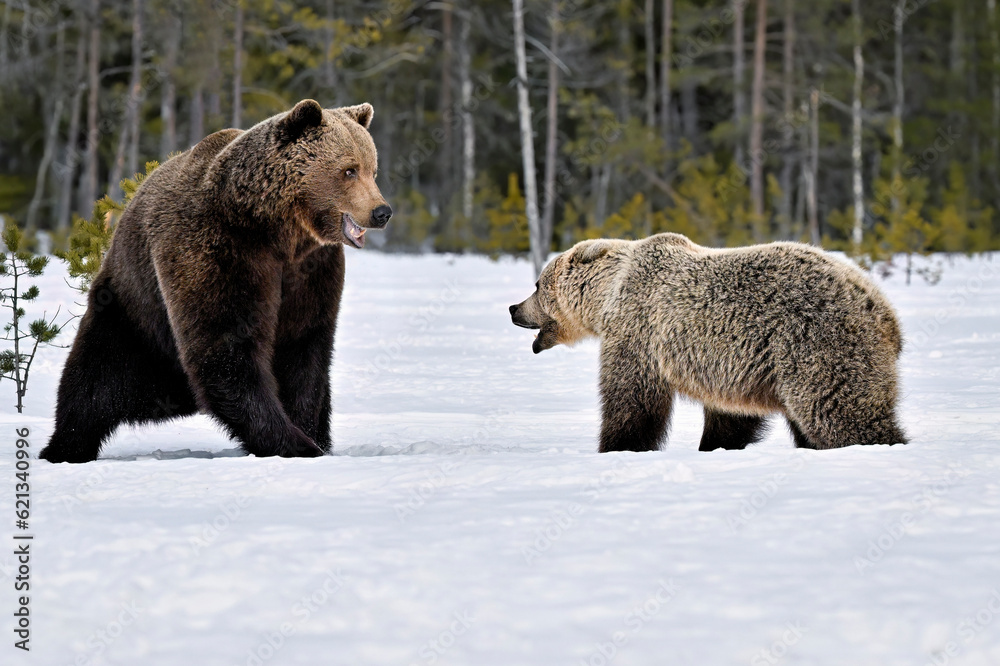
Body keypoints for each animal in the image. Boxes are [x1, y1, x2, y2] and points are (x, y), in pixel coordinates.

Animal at [39, 99, 391, 463]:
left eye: (372, 169)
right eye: (349, 170)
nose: (381, 211)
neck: (277, 230)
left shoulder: (311, 270)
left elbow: (304, 351)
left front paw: (310, 435)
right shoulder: (218, 249)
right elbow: (225, 345)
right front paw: (295, 444)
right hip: (132, 310)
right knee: (94, 379)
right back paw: (66, 446)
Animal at [509, 233, 907, 452]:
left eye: (537, 285)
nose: (514, 308)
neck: (608, 296)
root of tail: (884, 309)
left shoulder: (638, 332)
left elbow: (632, 401)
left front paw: (617, 446)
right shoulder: (731, 362)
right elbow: (731, 416)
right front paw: (715, 445)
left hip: (817, 343)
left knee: (837, 410)